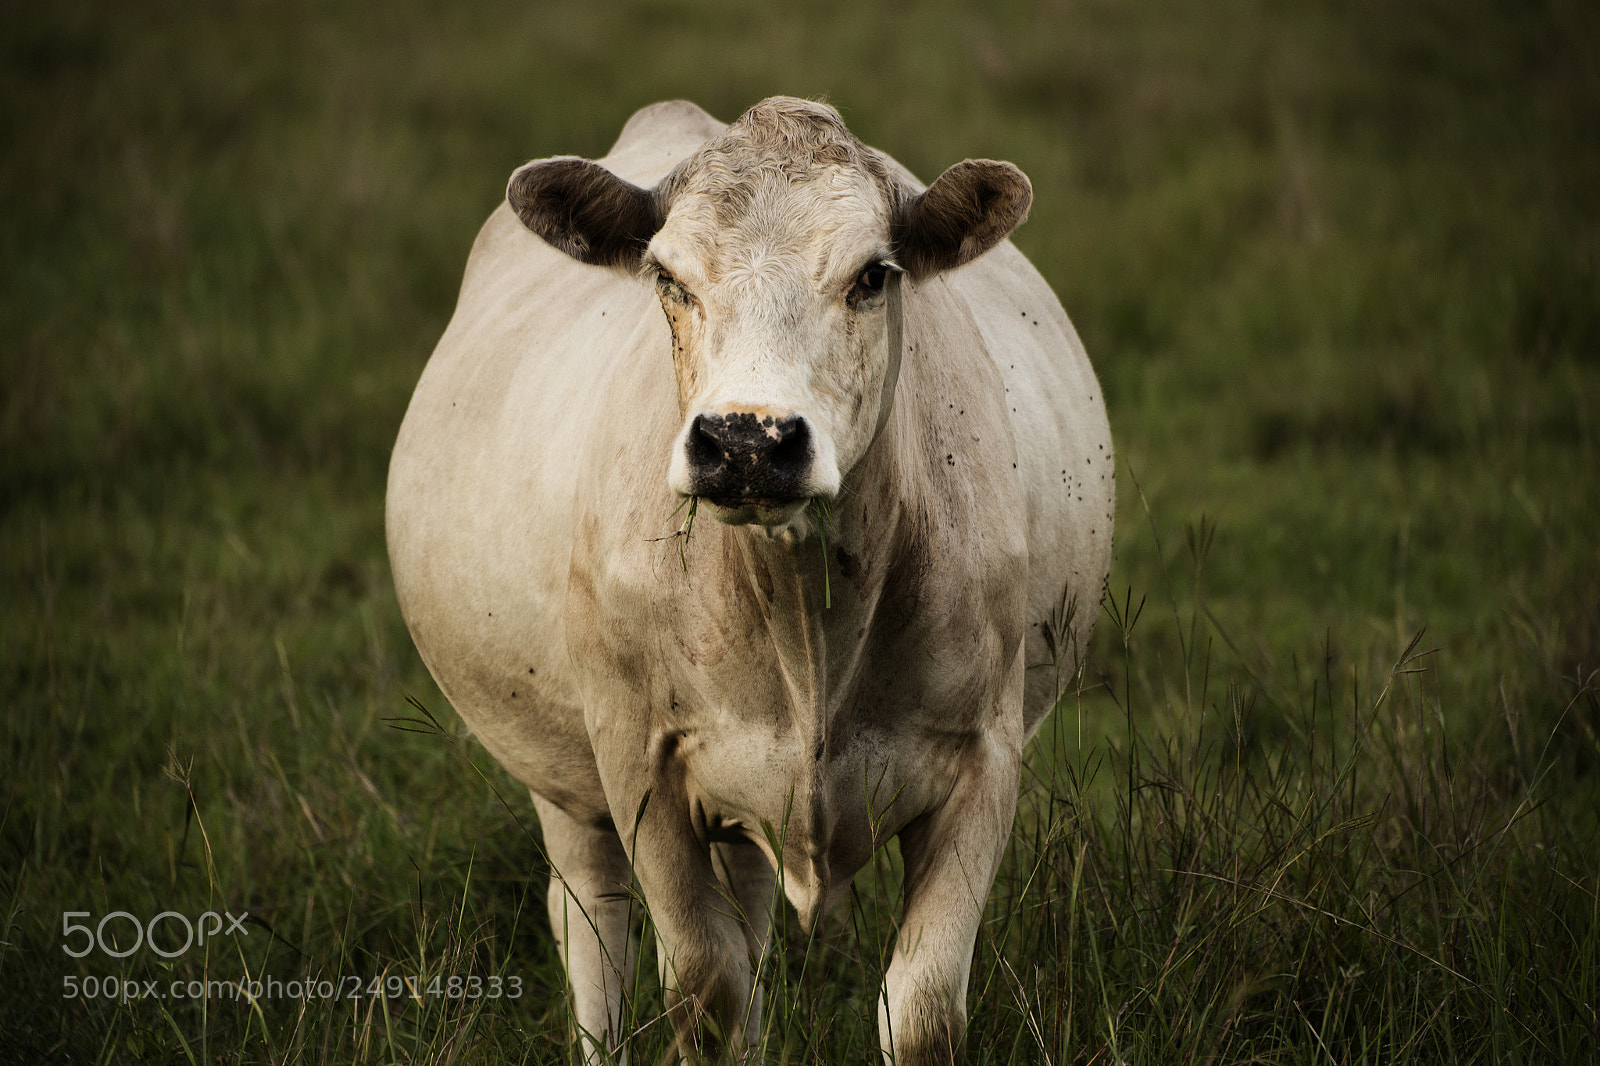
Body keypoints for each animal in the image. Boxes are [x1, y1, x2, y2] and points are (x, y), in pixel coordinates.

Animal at [387, 95, 1113, 1056]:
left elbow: (919, 1009)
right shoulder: (641, 765)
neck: (807, 622)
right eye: (668, 278)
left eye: (873, 276)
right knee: (593, 927)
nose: (746, 442)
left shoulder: (984, 759)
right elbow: (708, 989)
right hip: (563, 779)